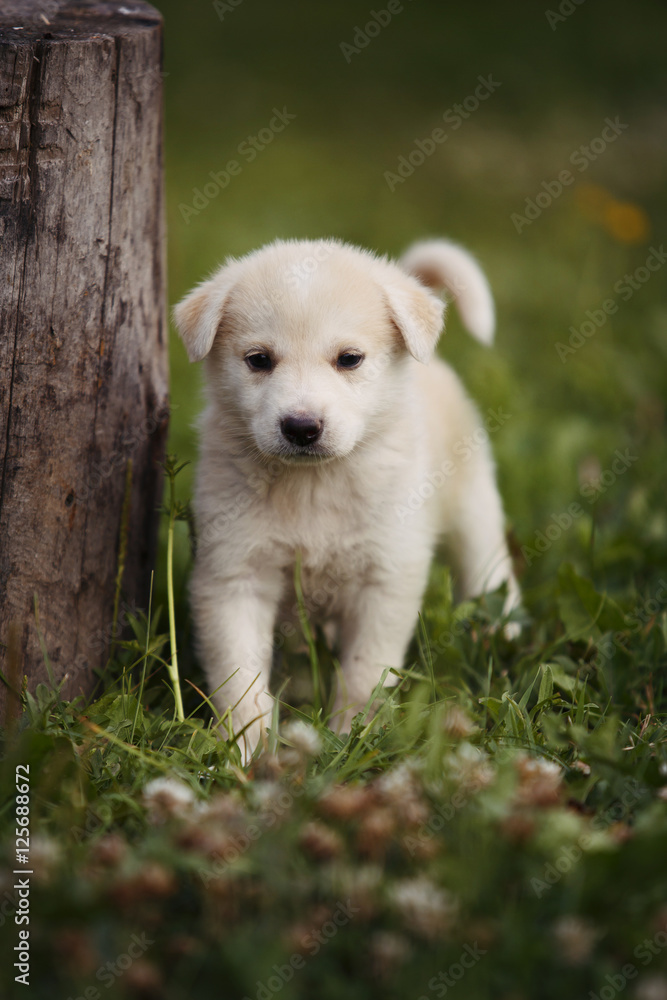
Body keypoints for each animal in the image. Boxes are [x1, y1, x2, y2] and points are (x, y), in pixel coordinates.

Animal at [175, 240, 520, 756]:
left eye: (349, 359)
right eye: (258, 359)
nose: (301, 427)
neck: (312, 487)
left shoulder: (386, 578)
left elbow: (364, 673)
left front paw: (351, 738)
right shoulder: (234, 575)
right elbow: (240, 677)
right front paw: (246, 749)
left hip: (473, 507)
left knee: (490, 572)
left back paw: (506, 634)